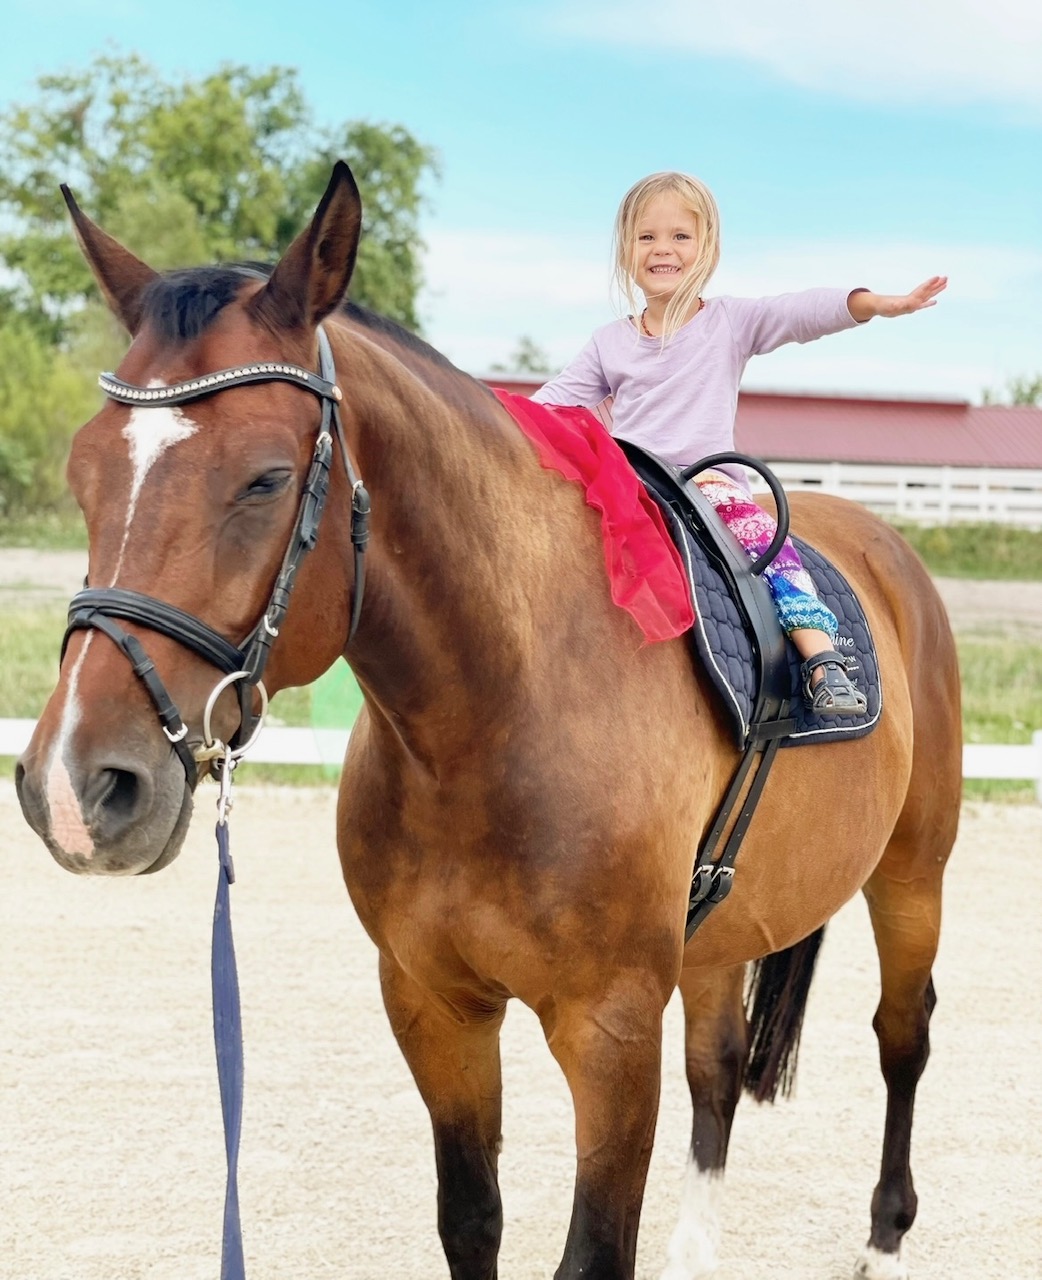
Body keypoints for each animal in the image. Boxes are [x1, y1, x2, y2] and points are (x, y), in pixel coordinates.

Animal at [16, 165, 962, 1280]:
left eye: (264, 477)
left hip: (910, 873)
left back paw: (885, 1236)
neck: (495, 719)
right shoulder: (434, 1005)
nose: (77, 786)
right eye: (83, 473)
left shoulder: (609, 1030)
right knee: (721, 1062)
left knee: (902, 1034)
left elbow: (592, 1250)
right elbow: (470, 1217)